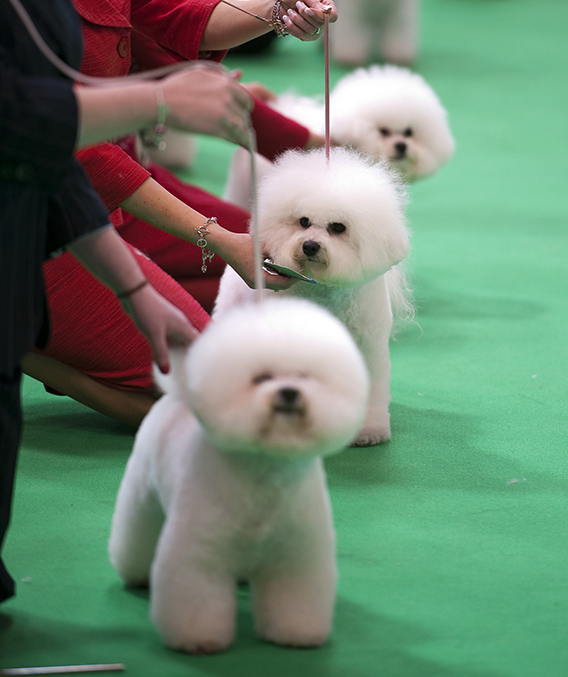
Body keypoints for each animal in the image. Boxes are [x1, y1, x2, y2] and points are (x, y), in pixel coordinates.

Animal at [108, 298, 370, 652]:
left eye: (303, 376)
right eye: (261, 378)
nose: (289, 392)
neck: (265, 472)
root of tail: (178, 395)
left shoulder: (296, 555)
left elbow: (295, 598)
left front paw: (296, 633)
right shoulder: (200, 552)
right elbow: (196, 596)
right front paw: (198, 639)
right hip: (142, 495)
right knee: (136, 532)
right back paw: (134, 573)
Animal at [215, 145, 410, 446]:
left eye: (338, 227)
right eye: (304, 222)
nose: (309, 246)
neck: (324, 289)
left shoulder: (368, 349)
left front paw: (368, 431)